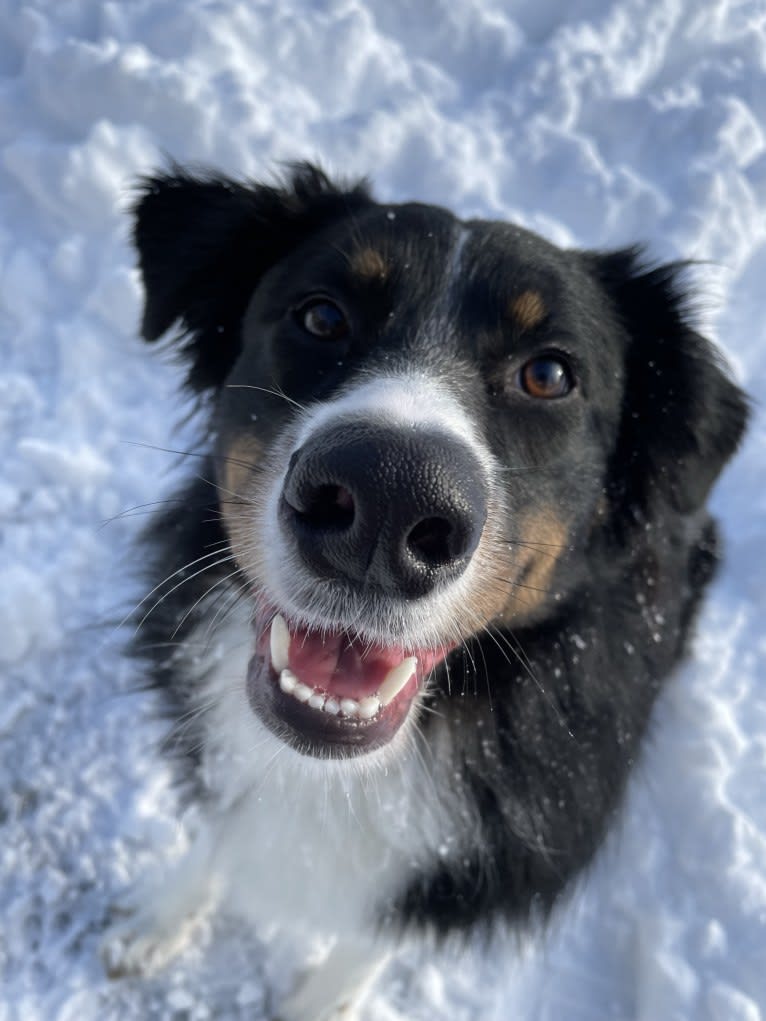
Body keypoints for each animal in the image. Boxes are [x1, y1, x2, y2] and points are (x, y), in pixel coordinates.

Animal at [100, 163, 751, 1016]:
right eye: (321, 315)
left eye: (549, 374)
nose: (387, 499)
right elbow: (215, 834)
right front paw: (157, 921)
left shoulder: (460, 866)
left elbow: (367, 942)